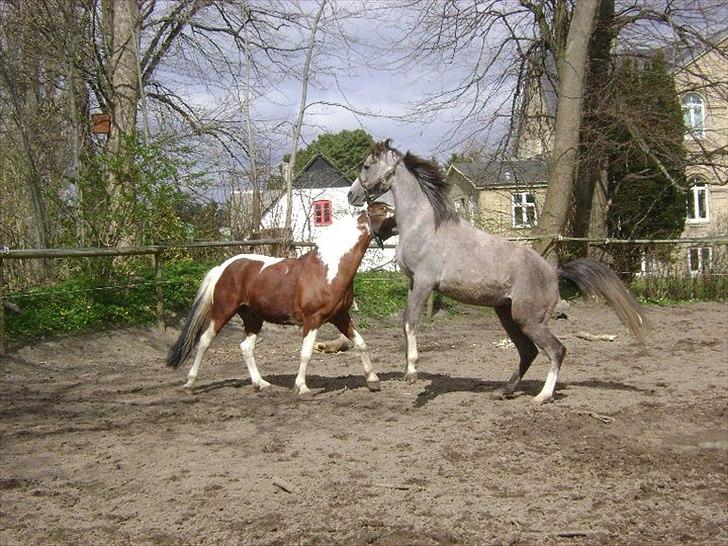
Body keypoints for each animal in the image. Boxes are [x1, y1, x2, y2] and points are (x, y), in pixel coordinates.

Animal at [167, 202, 396, 394]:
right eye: (383, 209)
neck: (329, 269)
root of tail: (223, 267)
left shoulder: (340, 316)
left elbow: (361, 343)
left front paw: (373, 380)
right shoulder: (312, 320)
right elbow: (306, 353)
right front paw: (302, 388)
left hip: (253, 317)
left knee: (246, 347)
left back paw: (261, 384)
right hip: (222, 312)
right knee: (204, 341)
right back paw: (190, 384)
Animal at [350, 139, 644, 404]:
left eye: (366, 166)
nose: (351, 195)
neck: (424, 226)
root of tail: (553, 271)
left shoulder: (423, 282)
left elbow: (410, 321)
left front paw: (411, 371)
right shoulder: (413, 282)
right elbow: (404, 321)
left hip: (529, 319)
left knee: (556, 350)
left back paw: (542, 396)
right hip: (508, 315)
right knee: (528, 352)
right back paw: (505, 390)